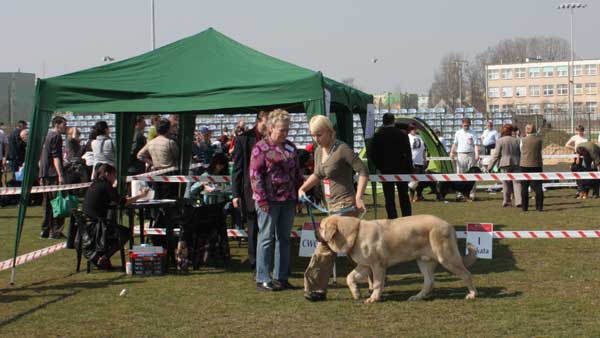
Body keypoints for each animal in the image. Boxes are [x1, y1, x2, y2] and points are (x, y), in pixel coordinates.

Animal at [318, 215, 478, 302]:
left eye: (321, 228)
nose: (315, 232)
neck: (355, 233)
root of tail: (449, 226)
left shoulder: (377, 265)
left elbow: (377, 283)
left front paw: (374, 298)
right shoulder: (365, 266)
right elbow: (349, 277)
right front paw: (356, 293)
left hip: (446, 258)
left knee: (467, 274)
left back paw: (472, 294)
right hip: (423, 261)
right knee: (429, 282)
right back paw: (417, 297)